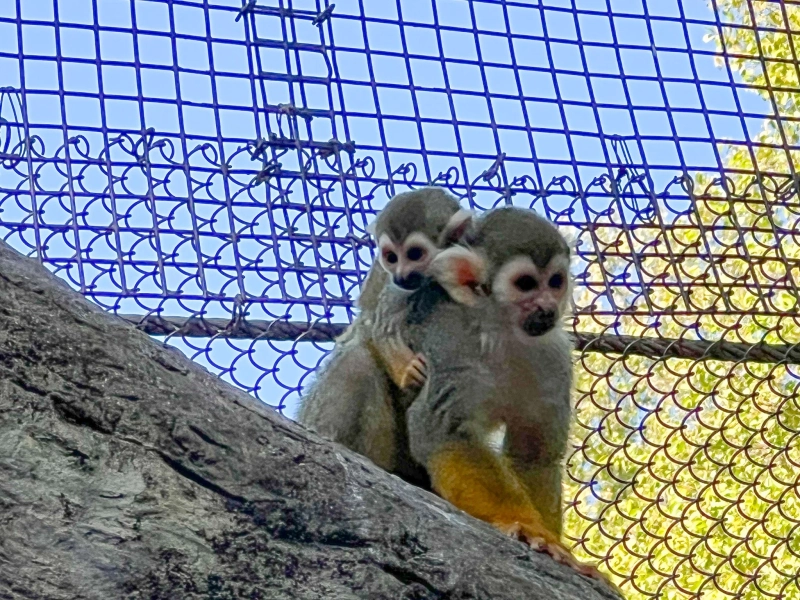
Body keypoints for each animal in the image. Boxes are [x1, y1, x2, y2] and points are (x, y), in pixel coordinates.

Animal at [297, 187, 472, 487]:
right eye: (392, 257)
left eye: (415, 254)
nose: (401, 275)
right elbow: (377, 326)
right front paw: (408, 369)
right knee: (358, 359)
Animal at [402, 206, 610, 582]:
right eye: (525, 284)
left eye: (555, 282)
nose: (548, 307)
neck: (503, 331)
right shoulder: (453, 347)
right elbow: (443, 431)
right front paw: (527, 526)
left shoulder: (554, 357)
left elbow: (534, 455)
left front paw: (556, 545)